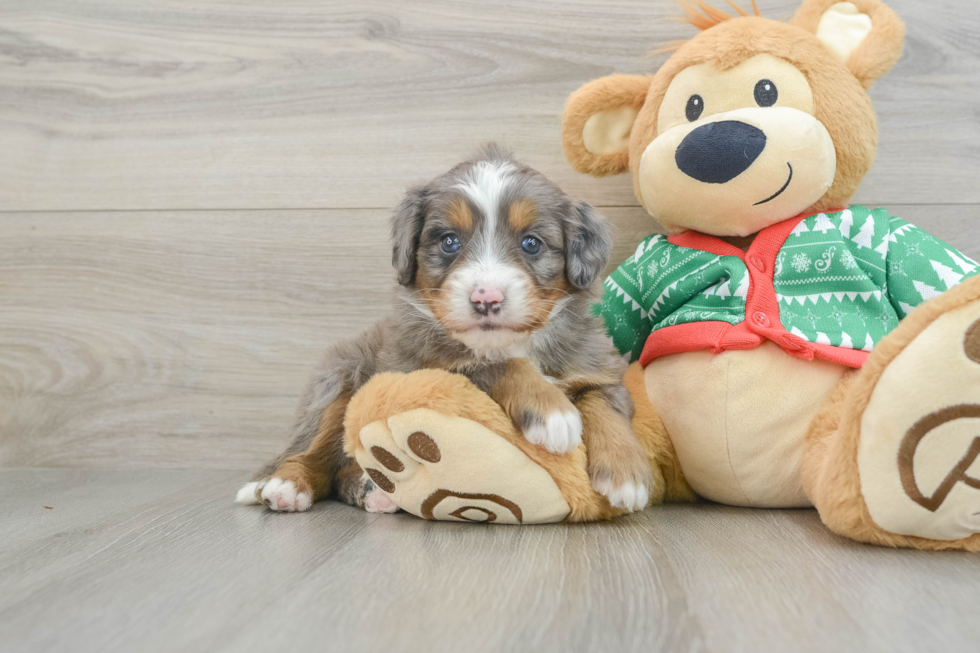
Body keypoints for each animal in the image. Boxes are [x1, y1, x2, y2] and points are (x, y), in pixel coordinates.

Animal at [234, 144, 656, 516]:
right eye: (450, 241)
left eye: (532, 243)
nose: (486, 298)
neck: (513, 342)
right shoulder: (422, 368)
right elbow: (491, 365)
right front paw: (551, 411)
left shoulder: (594, 363)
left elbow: (605, 403)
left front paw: (627, 475)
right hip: (341, 380)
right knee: (314, 454)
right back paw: (287, 485)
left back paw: (376, 492)